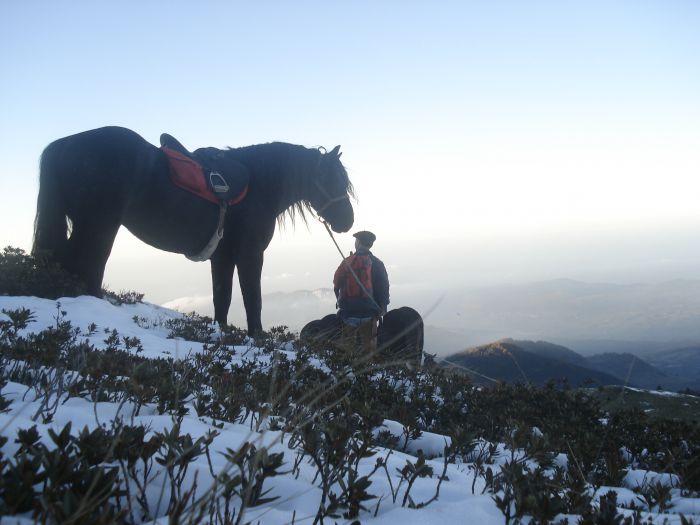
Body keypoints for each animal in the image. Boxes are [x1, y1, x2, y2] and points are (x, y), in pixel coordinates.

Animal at [32, 125, 352, 334]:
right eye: (334, 180)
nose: (347, 221)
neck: (259, 185)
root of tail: (64, 145)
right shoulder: (250, 254)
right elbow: (253, 298)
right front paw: (257, 336)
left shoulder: (223, 256)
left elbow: (222, 298)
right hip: (98, 226)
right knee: (87, 266)